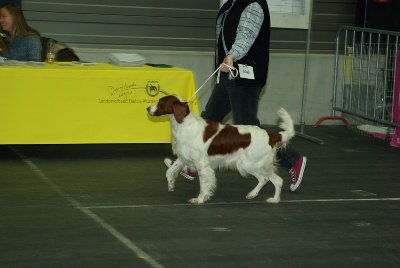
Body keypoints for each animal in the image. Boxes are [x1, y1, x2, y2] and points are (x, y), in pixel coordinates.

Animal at [146, 95, 294, 204]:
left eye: (160, 103)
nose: (147, 108)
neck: (184, 125)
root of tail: (271, 135)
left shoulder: (202, 164)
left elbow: (203, 184)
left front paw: (199, 199)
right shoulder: (184, 157)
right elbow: (169, 171)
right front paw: (171, 185)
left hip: (249, 164)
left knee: (269, 179)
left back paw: (269, 197)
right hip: (255, 164)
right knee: (271, 180)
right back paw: (263, 197)